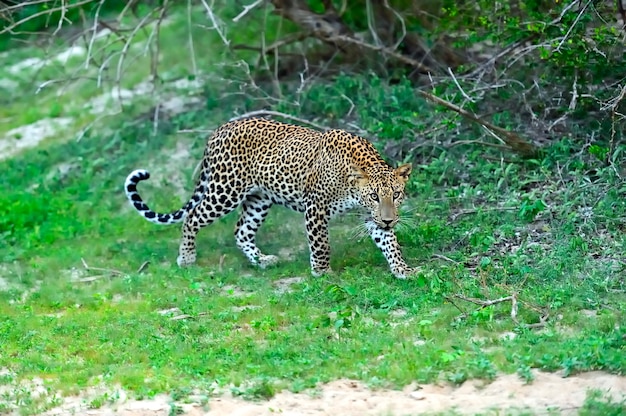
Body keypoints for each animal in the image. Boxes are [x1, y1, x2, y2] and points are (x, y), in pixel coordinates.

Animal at [123, 118, 414, 280]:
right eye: (374, 196)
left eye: (396, 195)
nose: (389, 219)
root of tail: (219, 130)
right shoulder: (316, 207)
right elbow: (321, 245)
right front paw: (322, 273)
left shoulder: (372, 217)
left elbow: (389, 243)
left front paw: (402, 270)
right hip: (225, 190)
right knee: (193, 217)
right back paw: (186, 258)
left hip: (259, 199)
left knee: (241, 231)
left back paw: (261, 260)